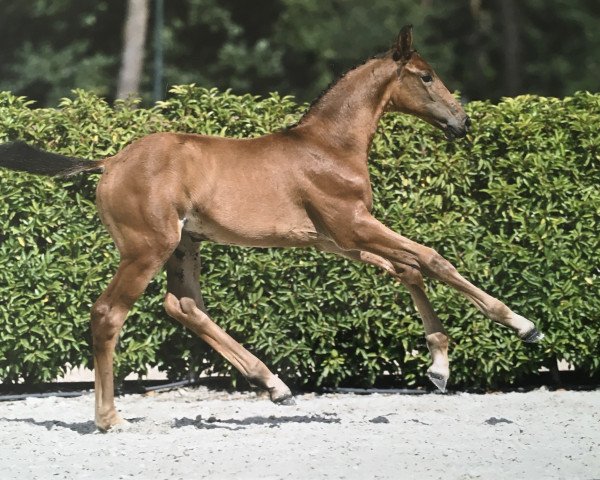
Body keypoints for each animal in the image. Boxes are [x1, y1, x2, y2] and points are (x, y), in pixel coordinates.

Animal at [0, 26, 544, 432]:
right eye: (427, 76)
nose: (462, 122)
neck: (328, 146)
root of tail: (110, 162)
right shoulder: (354, 225)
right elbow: (431, 258)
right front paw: (523, 325)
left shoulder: (338, 239)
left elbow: (407, 269)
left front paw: (438, 367)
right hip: (146, 248)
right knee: (108, 313)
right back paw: (111, 418)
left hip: (184, 244)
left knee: (184, 305)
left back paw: (275, 386)